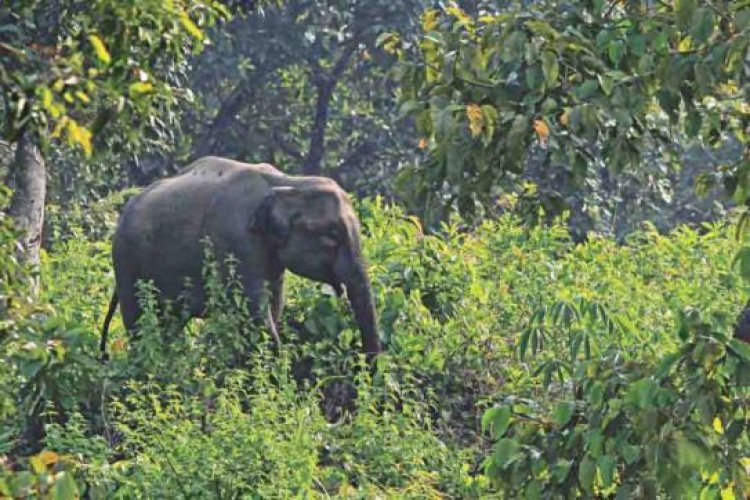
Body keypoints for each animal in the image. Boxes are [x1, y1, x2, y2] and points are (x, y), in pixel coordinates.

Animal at [100, 156, 381, 358]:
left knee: (169, 324)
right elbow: (255, 311)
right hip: (126, 261)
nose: (365, 364)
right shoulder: (235, 242)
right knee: (138, 320)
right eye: (332, 235)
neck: (287, 182)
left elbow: (274, 304)